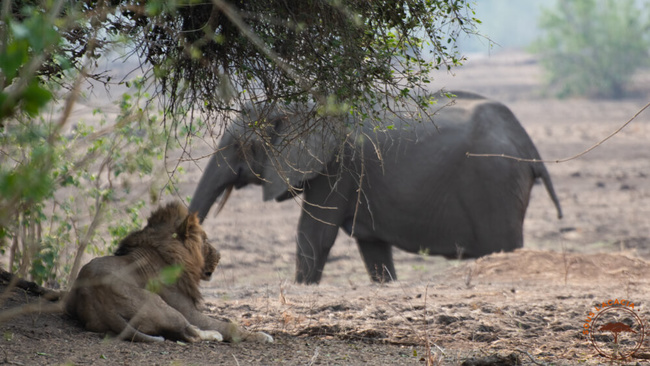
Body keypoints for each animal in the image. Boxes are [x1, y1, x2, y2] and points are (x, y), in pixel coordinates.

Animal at [67, 200, 274, 344]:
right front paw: (260, 335)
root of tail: (96, 298)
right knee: (189, 333)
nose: (220, 255)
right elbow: (227, 324)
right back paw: (213, 335)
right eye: (205, 240)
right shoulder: (188, 310)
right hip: (158, 303)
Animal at [185, 91, 560, 284]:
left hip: (496, 182)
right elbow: (373, 247)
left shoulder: (338, 165)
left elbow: (314, 235)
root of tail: (528, 144)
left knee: (504, 246)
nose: (206, 273)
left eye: (241, 146)